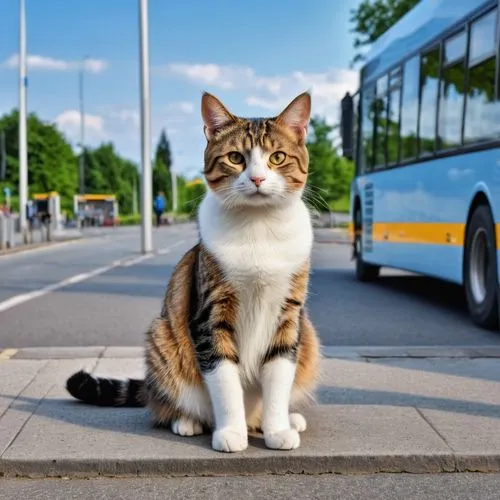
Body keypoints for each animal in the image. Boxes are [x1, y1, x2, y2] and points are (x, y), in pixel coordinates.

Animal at [66, 91, 320, 454]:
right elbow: (224, 379)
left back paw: (288, 419)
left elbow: (279, 375)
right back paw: (187, 421)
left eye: (277, 157)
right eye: (235, 157)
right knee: (168, 402)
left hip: (308, 334)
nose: (257, 179)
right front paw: (231, 433)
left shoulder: (289, 315)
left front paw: (278, 429)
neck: (258, 226)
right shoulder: (211, 313)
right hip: (163, 338)